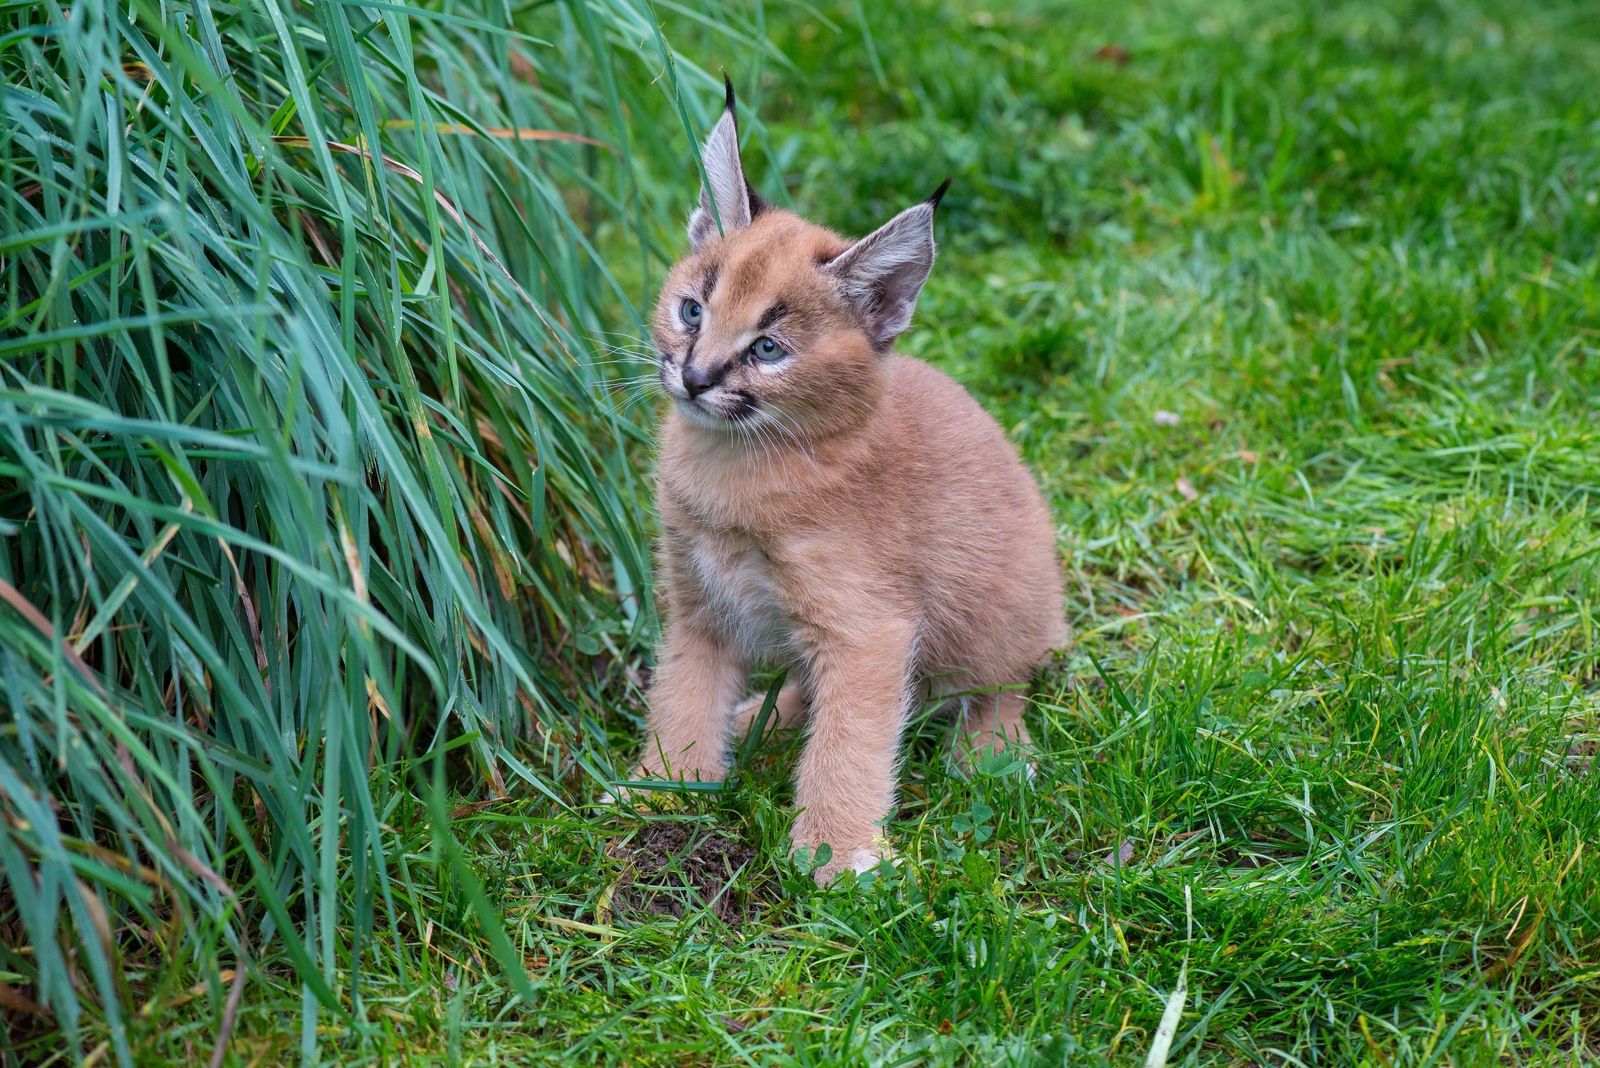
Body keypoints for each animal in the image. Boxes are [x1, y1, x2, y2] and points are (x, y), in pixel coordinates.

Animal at [630, 83, 1068, 882]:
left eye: (769, 349)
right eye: (692, 310)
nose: (697, 376)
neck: (730, 459)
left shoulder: (867, 627)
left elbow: (851, 739)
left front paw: (837, 857)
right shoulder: (697, 600)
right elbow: (683, 690)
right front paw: (664, 786)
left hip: (1000, 598)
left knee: (1001, 683)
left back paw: (991, 755)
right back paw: (762, 721)